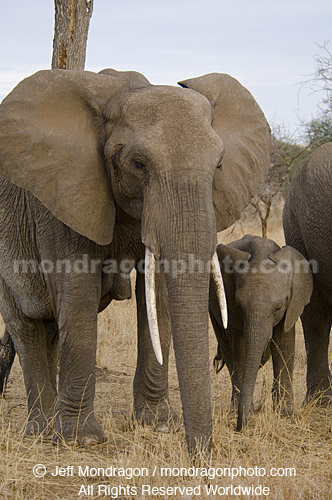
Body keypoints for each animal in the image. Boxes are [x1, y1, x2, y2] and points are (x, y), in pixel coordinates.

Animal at [0, 68, 272, 456]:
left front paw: (158, 426)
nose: (200, 456)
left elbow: (157, 295)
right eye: (138, 164)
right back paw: (40, 430)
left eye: (219, 165)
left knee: (50, 328)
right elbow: (78, 297)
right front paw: (82, 440)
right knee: (27, 326)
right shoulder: (63, 198)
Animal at [210, 234, 314, 430]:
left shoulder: (291, 305)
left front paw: (285, 414)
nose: (238, 427)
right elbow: (241, 350)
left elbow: (285, 345)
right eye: (239, 307)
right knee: (227, 349)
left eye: (278, 308)